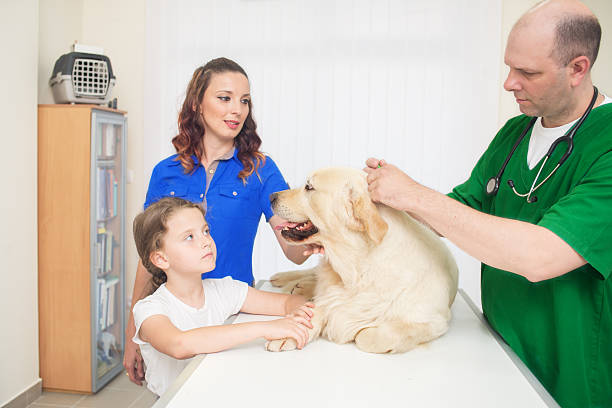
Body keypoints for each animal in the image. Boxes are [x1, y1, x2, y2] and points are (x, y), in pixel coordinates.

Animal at [266, 168, 456, 354]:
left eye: (309, 187)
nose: (271, 196)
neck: (354, 272)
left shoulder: (434, 321)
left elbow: (366, 337)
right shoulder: (330, 297)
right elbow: (315, 312)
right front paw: (286, 333)